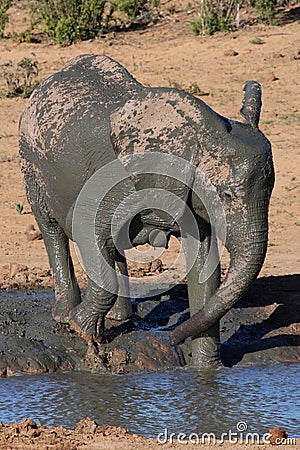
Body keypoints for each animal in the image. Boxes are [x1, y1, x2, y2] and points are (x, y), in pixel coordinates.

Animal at [18, 54, 274, 368]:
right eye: (225, 195)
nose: (172, 338)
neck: (197, 137)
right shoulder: (116, 179)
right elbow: (85, 226)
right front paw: (81, 329)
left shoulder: (188, 192)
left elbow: (204, 267)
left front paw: (207, 370)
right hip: (30, 159)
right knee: (52, 228)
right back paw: (65, 316)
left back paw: (119, 318)